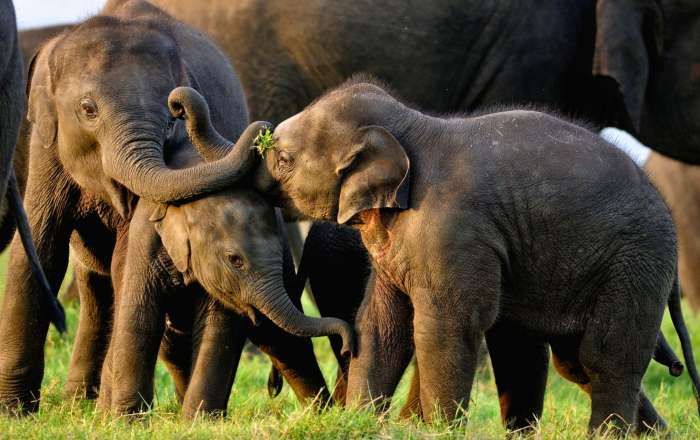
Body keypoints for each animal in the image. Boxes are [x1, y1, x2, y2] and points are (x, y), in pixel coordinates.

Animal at [0, 0, 280, 413]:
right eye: (87, 109)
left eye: (170, 117)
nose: (182, 103)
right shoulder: (45, 148)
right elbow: (39, 248)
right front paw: (15, 412)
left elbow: (126, 258)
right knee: (94, 288)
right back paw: (78, 403)